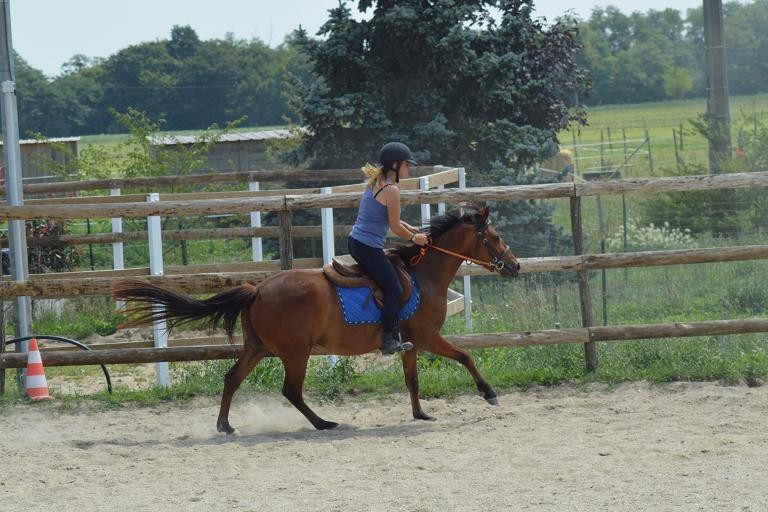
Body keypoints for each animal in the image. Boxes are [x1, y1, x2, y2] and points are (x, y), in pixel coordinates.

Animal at [112, 204, 520, 433]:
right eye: (496, 237)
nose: (515, 266)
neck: (425, 276)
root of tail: (258, 289)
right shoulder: (427, 337)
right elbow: (466, 356)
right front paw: (490, 394)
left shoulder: (411, 343)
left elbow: (412, 379)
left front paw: (420, 414)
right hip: (295, 352)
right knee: (290, 390)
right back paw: (323, 422)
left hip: (257, 348)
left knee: (232, 378)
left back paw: (225, 425)